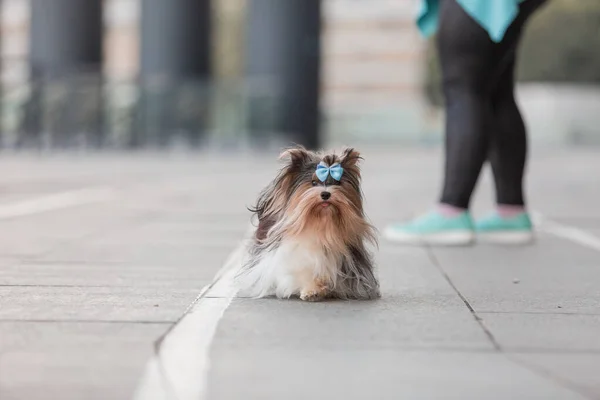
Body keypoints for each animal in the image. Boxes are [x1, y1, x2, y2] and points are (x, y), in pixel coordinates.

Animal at [236, 145, 380, 302]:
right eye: (313, 183)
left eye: (337, 183)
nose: (325, 194)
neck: (321, 223)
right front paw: (311, 290)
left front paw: (318, 289)